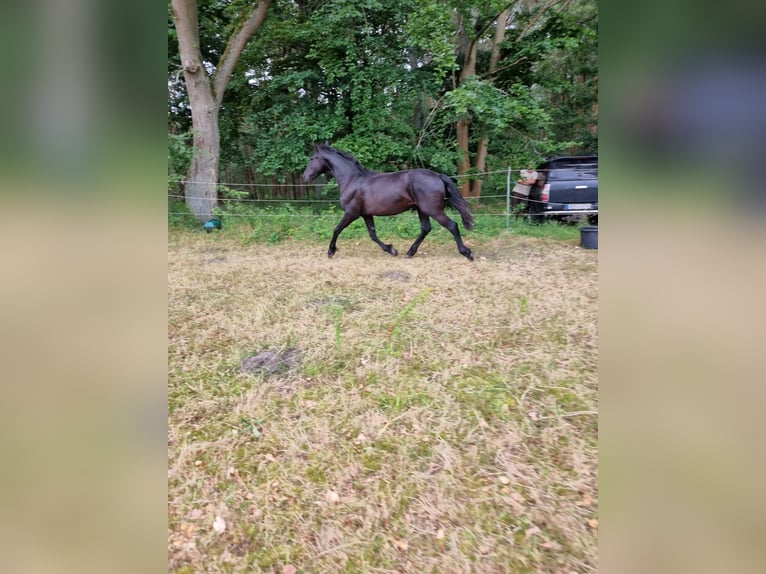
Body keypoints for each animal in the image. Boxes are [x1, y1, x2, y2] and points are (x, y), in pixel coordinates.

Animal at [304, 144, 474, 260]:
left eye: (312, 158)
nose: (305, 177)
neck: (352, 180)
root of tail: (438, 176)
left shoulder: (352, 213)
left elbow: (337, 229)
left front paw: (330, 251)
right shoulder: (366, 214)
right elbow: (372, 234)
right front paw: (391, 249)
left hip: (433, 210)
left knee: (452, 225)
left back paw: (466, 253)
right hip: (422, 210)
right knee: (426, 228)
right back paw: (410, 252)